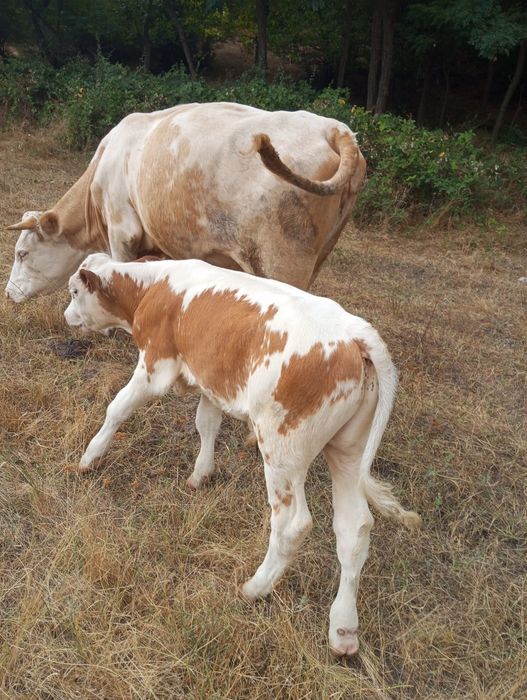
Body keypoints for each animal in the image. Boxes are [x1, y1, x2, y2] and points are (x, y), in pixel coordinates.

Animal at [5, 102, 367, 303]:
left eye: (22, 253)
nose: (7, 294)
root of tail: (333, 128)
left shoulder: (122, 231)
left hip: (282, 258)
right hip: (318, 254)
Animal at [64, 253, 421, 658]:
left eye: (74, 292)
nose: (66, 315)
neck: (153, 285)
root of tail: (358, 333)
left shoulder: (155, 366)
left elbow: (118, 409)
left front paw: (89, 457)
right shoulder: (210, 378)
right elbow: (206, 423)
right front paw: (200, 474)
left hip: (281, 449)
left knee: (292, 524)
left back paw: (255, 588)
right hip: (347, 450)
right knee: (354, 527)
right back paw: (342, 629)